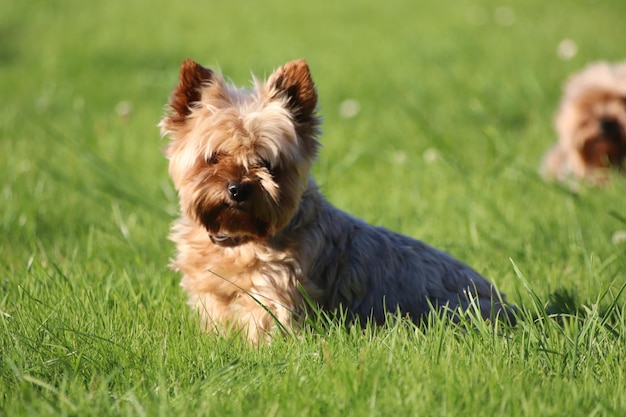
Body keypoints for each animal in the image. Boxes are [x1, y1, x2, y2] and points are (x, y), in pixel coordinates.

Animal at [160, 57, 512, 342]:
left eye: (269, 164)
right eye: (214, 158)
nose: (238, 189)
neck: (239, 239)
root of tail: (511, 309)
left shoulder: (271, 295)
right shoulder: (211, 296)